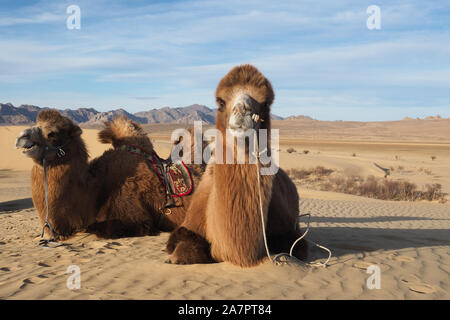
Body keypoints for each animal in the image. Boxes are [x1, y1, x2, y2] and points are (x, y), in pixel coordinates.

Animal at [14, 109, 204, 239]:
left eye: (52, 133)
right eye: (35, 123)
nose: (21, 138)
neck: (93, 191)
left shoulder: (135, 217)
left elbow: (98, 228)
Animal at [167, 63, 308, 268]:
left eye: (266, 103)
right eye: (220, 102)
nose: (242, 110)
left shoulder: (290, 234)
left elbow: (296, 248)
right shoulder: (188, 225)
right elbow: (182, 247)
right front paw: (175, 256)